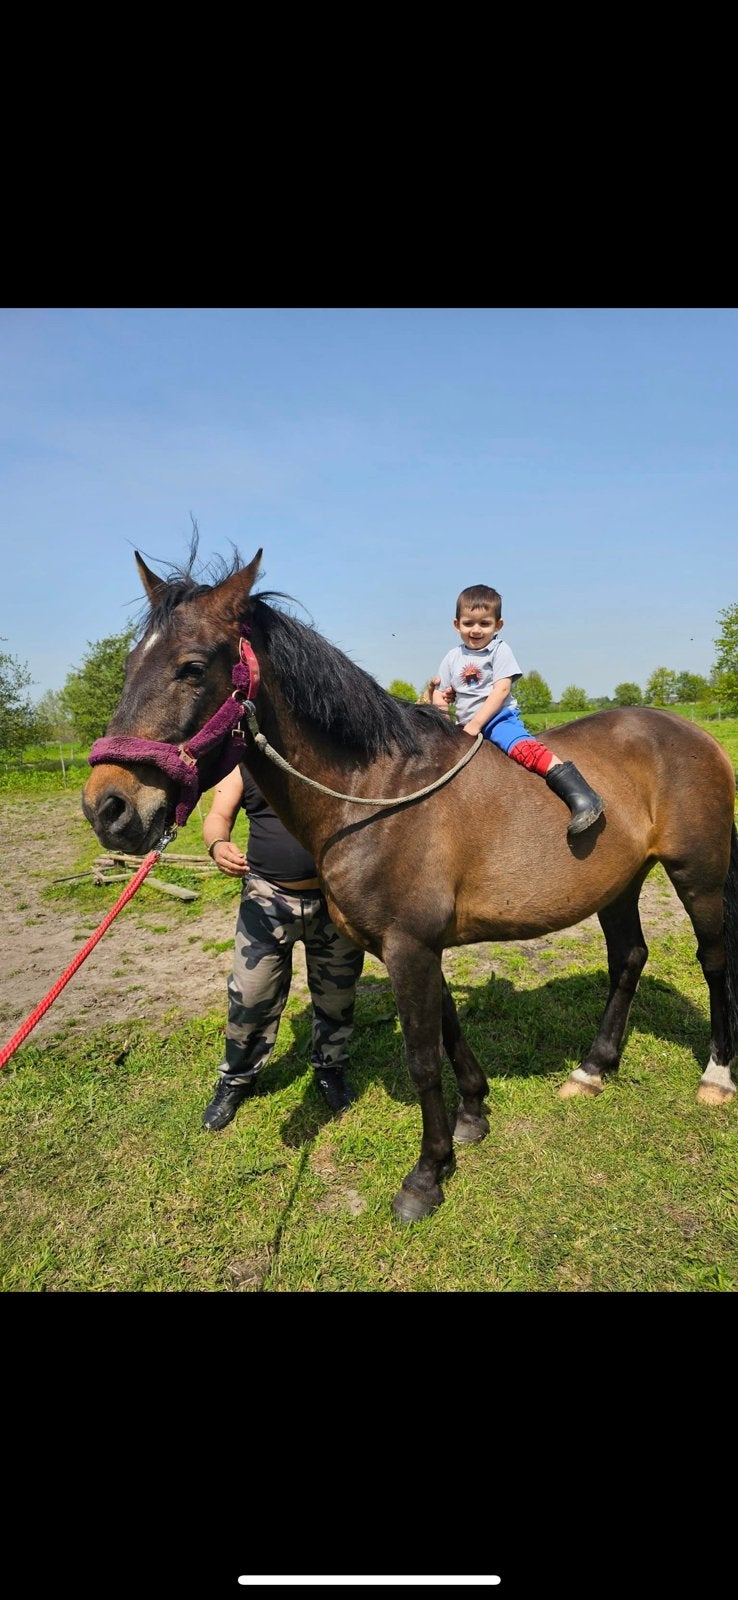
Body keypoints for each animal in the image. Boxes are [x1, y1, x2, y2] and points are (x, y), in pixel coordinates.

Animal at [82, 548, 738, 1222]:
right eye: (129, 665)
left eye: (191, 667)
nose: (108, 808)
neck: (376, 793)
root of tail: (693, 733)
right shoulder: (416, 947)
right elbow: (449, 1032)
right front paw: (472, 1116)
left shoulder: (410, 946)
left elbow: (423, 1058)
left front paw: (426, 1175)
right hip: (619, 885)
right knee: (629, 958)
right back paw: (593, 1069)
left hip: (698, 875)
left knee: (713, 959)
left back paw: (716, 1076)